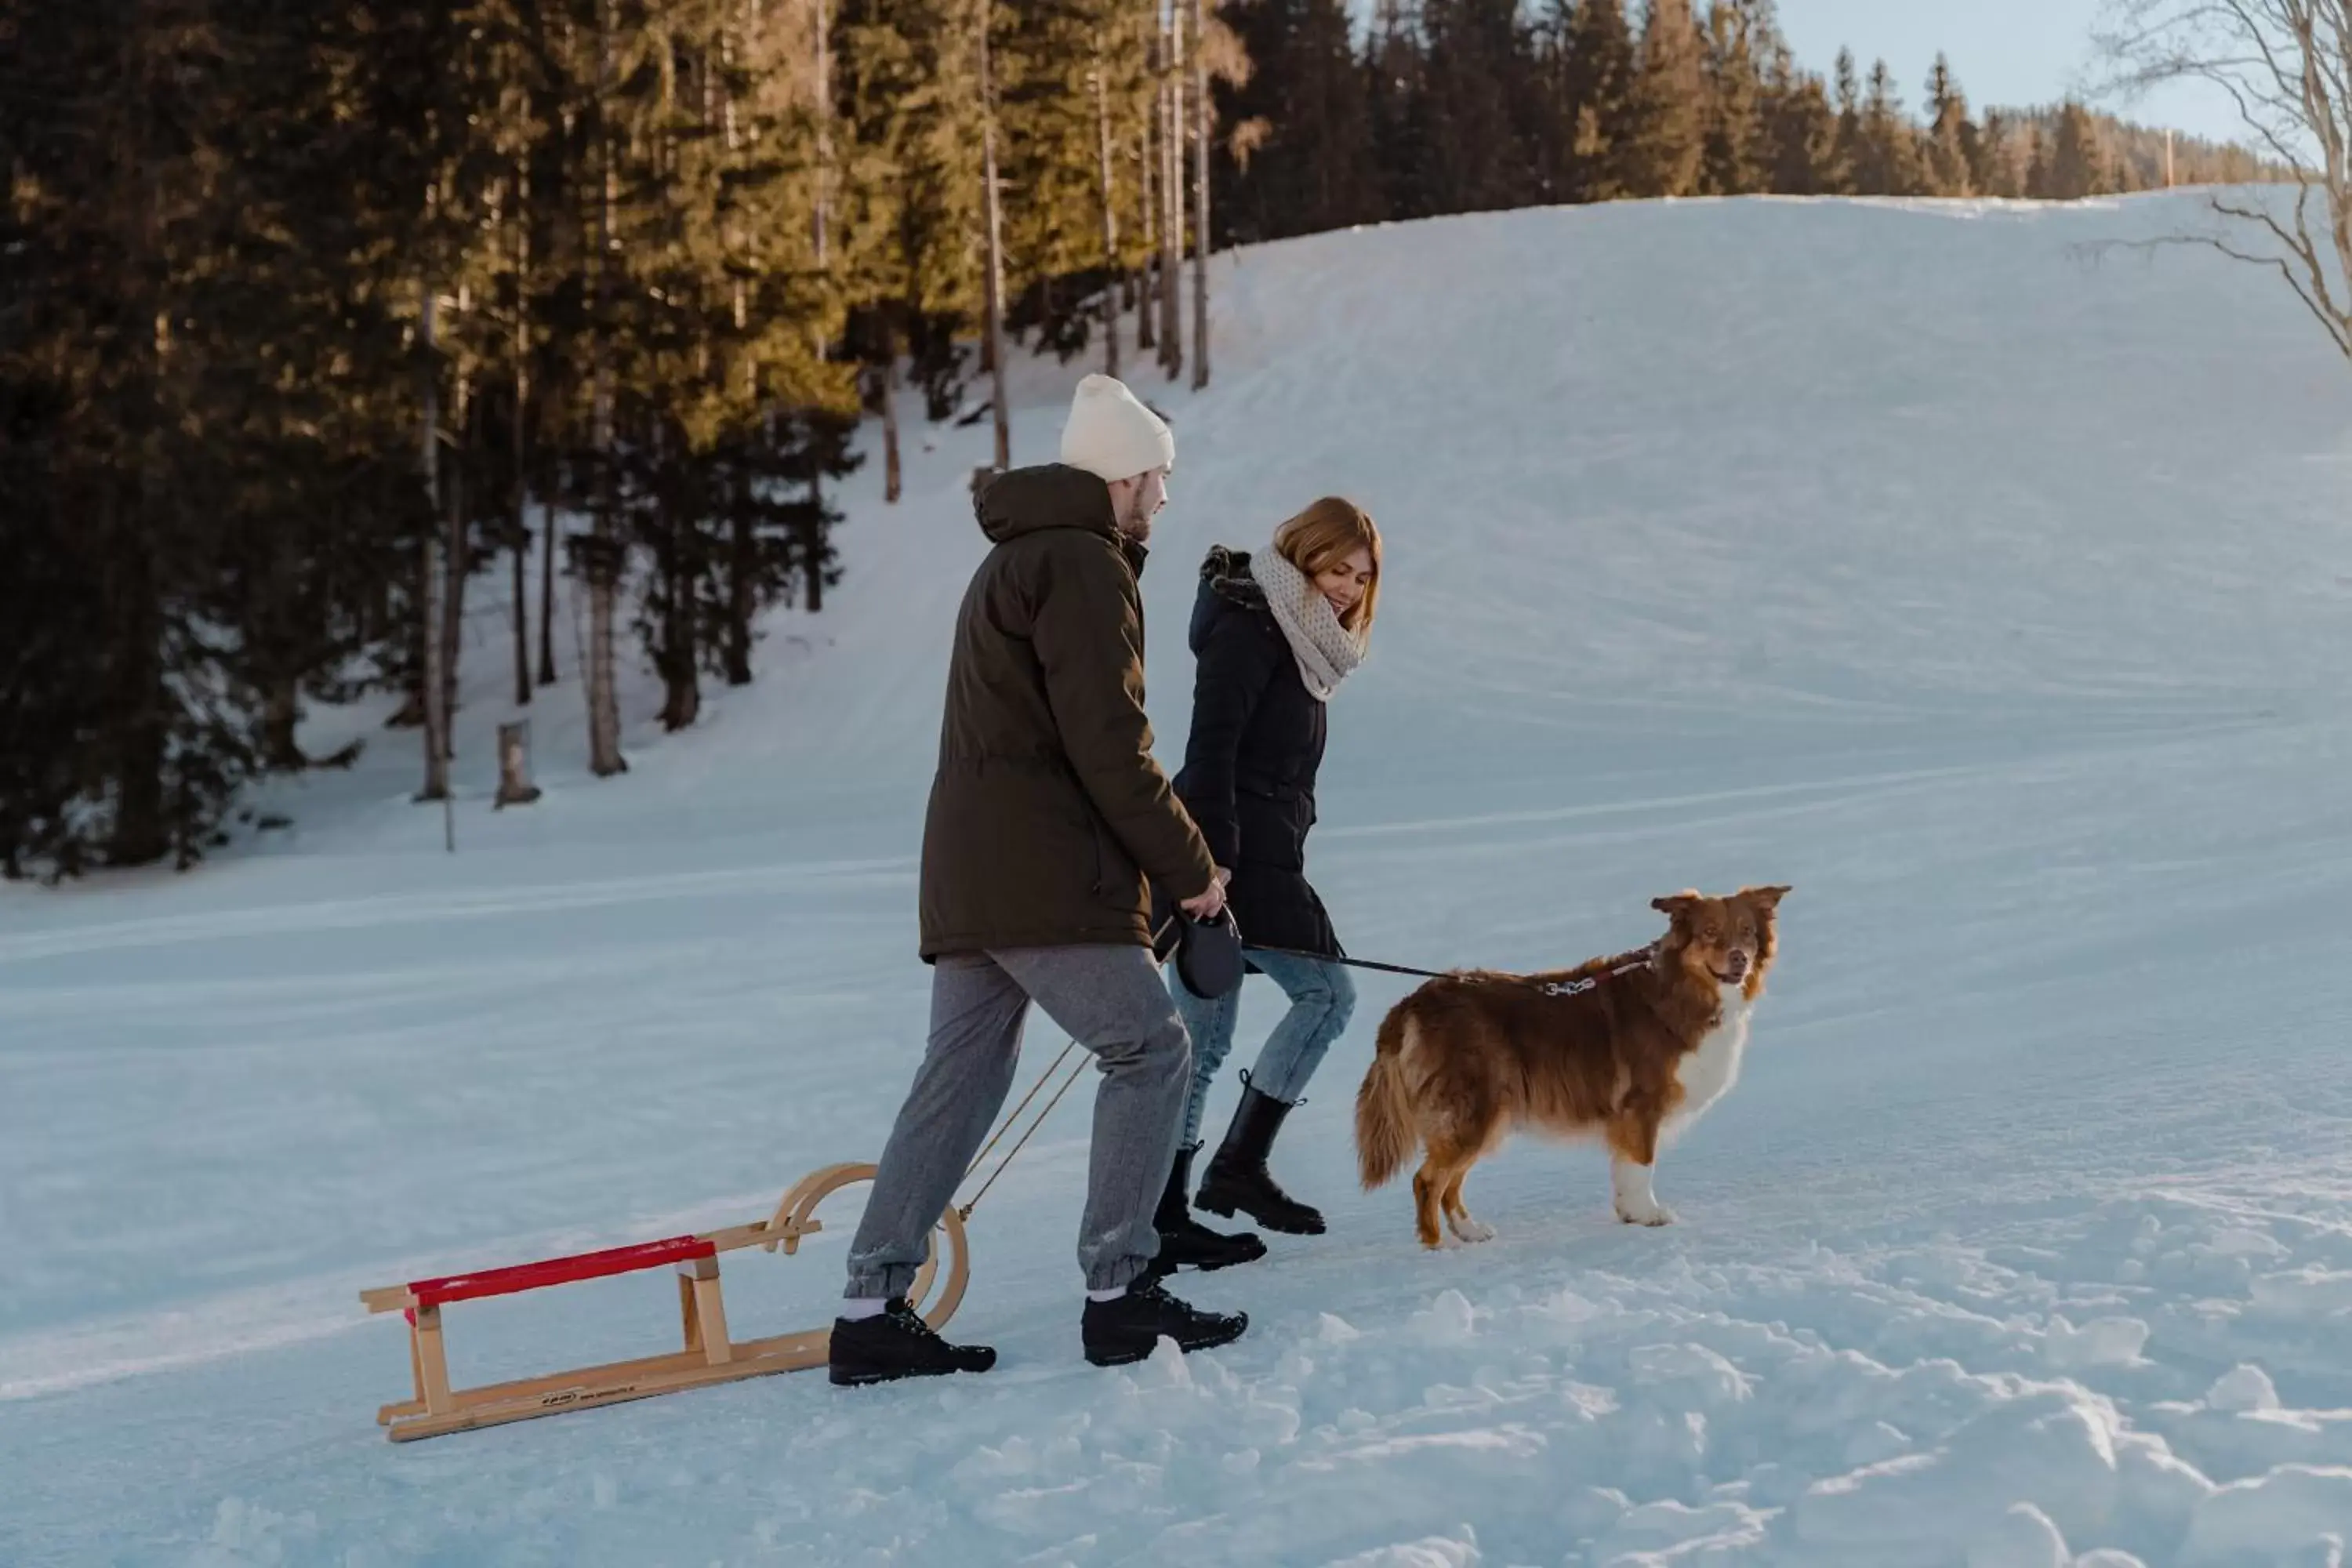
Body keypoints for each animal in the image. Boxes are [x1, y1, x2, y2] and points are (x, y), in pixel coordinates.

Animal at [1355, 888, 1788, 1241]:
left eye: (1747, 931)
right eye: (1710, 932)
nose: (1739, 959)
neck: (1680, 988)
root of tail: (1411, 1005)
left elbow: (1624, 1170)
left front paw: (1629, 1213)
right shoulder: (1640, 1105)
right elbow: (1642, 1164)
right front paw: (1649, 1216)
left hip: (1486, 1116)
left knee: (1450, 1184)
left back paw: (1471, 1232)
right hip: (1473, 1110)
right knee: (1428, 1181)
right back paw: (1436, 1249)